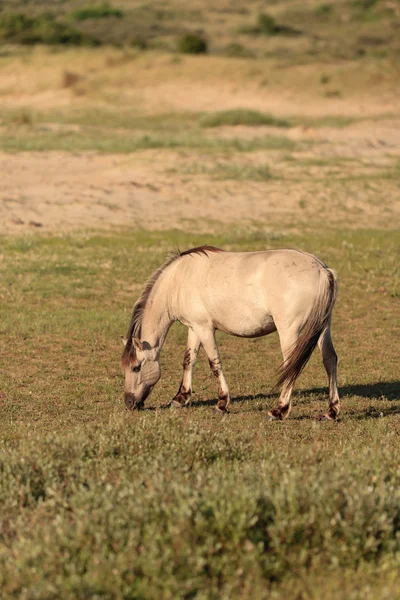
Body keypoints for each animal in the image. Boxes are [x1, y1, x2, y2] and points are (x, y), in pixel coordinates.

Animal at [120, 246, 340, 420]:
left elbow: (214, 363)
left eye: (136, 367)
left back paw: (279, 410)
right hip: (323, 328)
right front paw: (180, 398)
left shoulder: (205, 328)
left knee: (291, 366)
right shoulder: (194, 328)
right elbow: (189, 360)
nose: (129, 403)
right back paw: (331, 411)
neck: (180, 279)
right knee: (329, 360)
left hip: (288, 331)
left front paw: (222, 404)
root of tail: (321, 270)